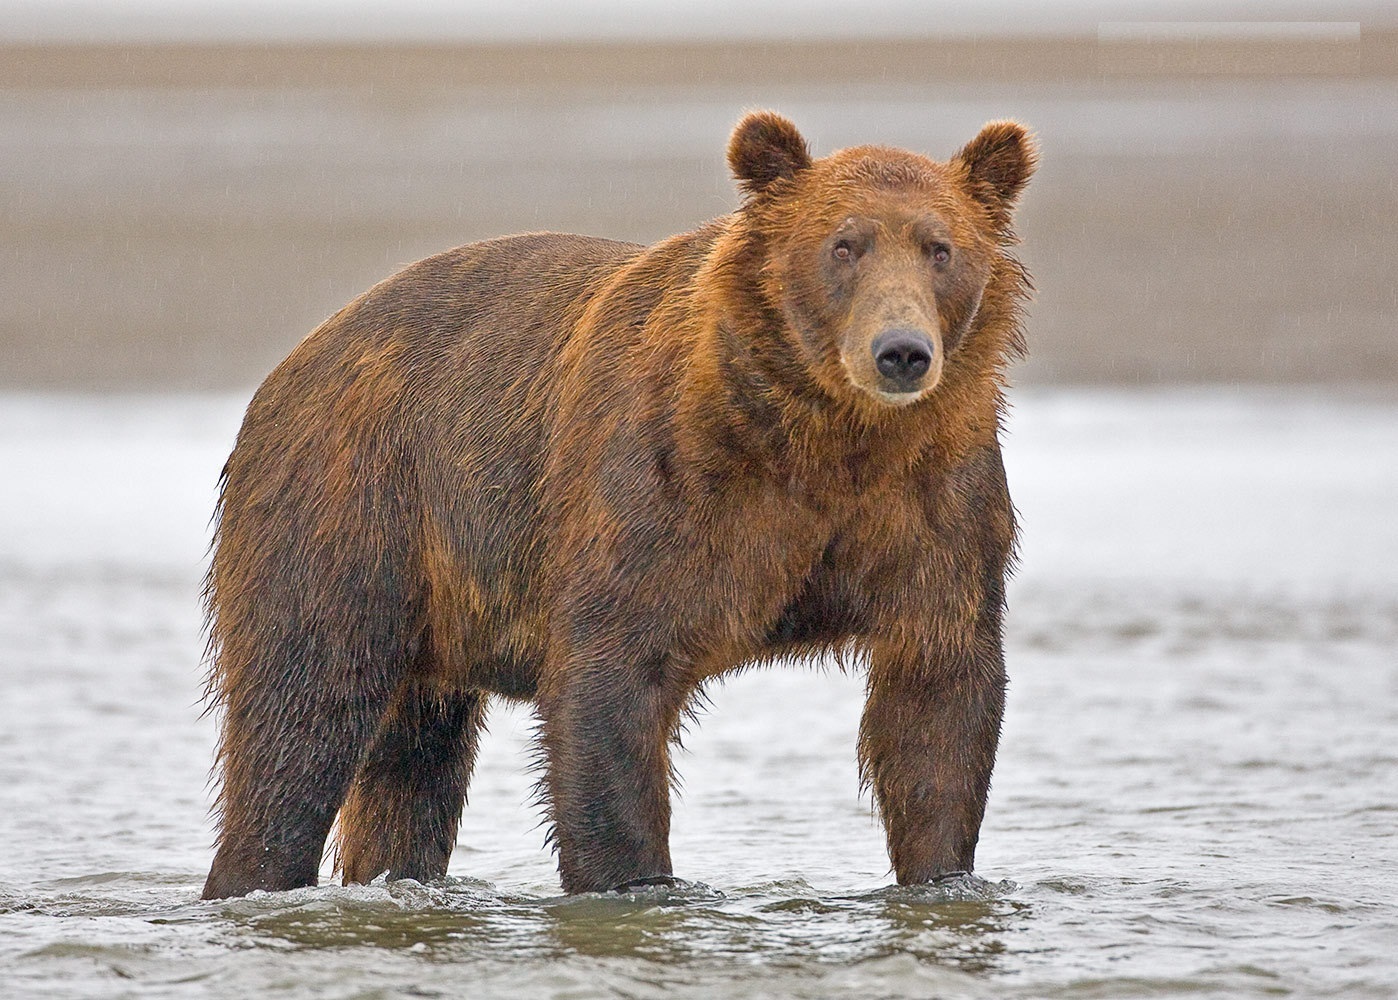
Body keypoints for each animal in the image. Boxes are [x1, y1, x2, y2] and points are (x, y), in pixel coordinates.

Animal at [200, 110, 1036, 900]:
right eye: (843, 245)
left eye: (939, 248)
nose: (900, 351)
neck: (821, 441)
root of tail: (297, 360)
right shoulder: (661, 492)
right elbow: (609, 684)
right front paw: (633, 882)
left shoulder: (932, 508)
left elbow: (937, 699)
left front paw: (945, 875)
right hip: (352, 504)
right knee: (305, 714)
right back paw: (253, 873)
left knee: (414, 761)